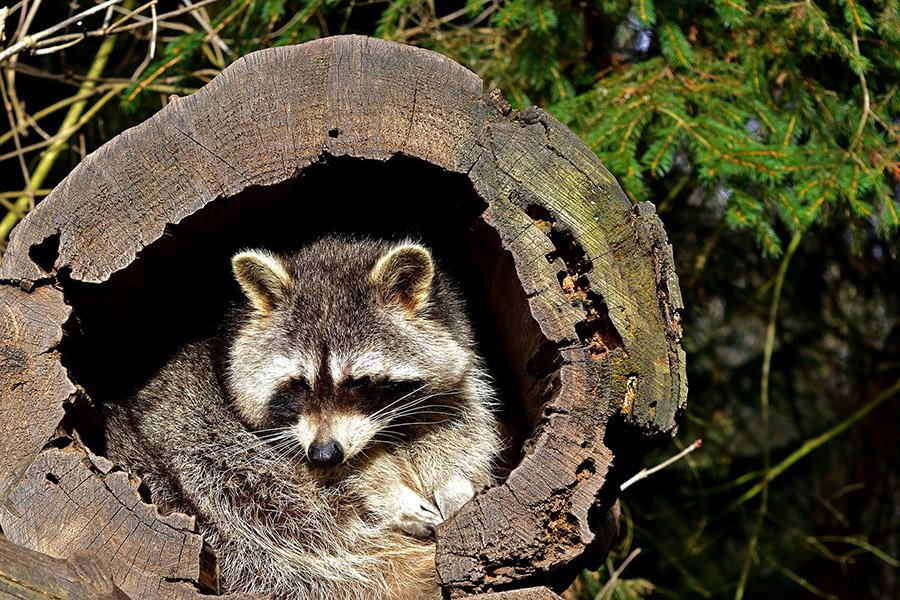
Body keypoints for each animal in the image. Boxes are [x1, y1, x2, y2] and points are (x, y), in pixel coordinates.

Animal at [103, 237, 501, 599]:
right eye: (298, 384)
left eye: (358, 381)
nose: (324, 454)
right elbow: (336, 477)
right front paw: (384, 489)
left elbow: (459, 425)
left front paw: (452, 481)